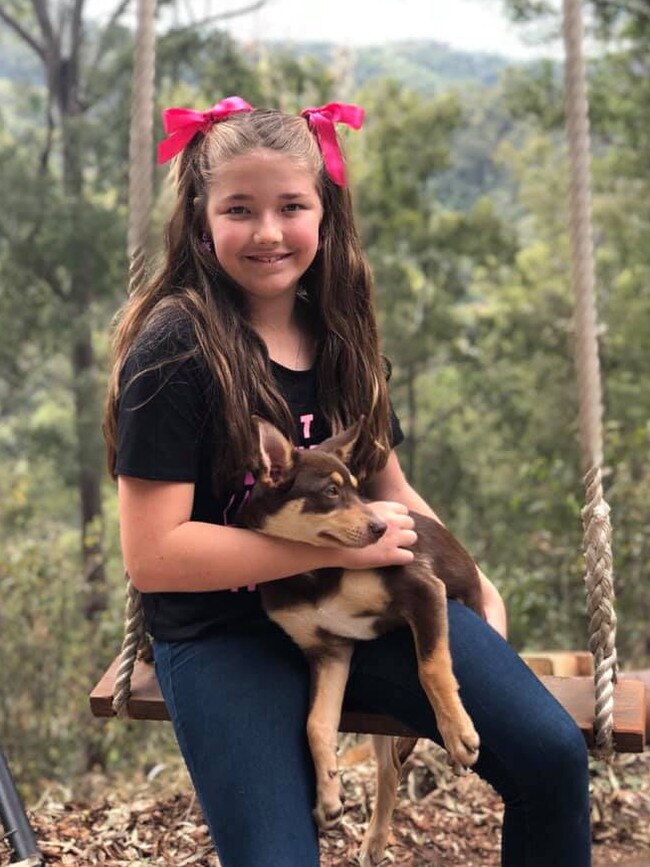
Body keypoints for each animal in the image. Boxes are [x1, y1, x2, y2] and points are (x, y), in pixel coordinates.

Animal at [238, 420, 480, 867]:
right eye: (331, 492)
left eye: (355, 488)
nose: (382, 529)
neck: (312, 573)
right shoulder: (329, 650)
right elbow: (317, 723)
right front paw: (329, 797)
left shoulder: (424, 592)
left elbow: (432, 667)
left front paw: (458, 734)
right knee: (390, 769)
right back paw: (374, 840)